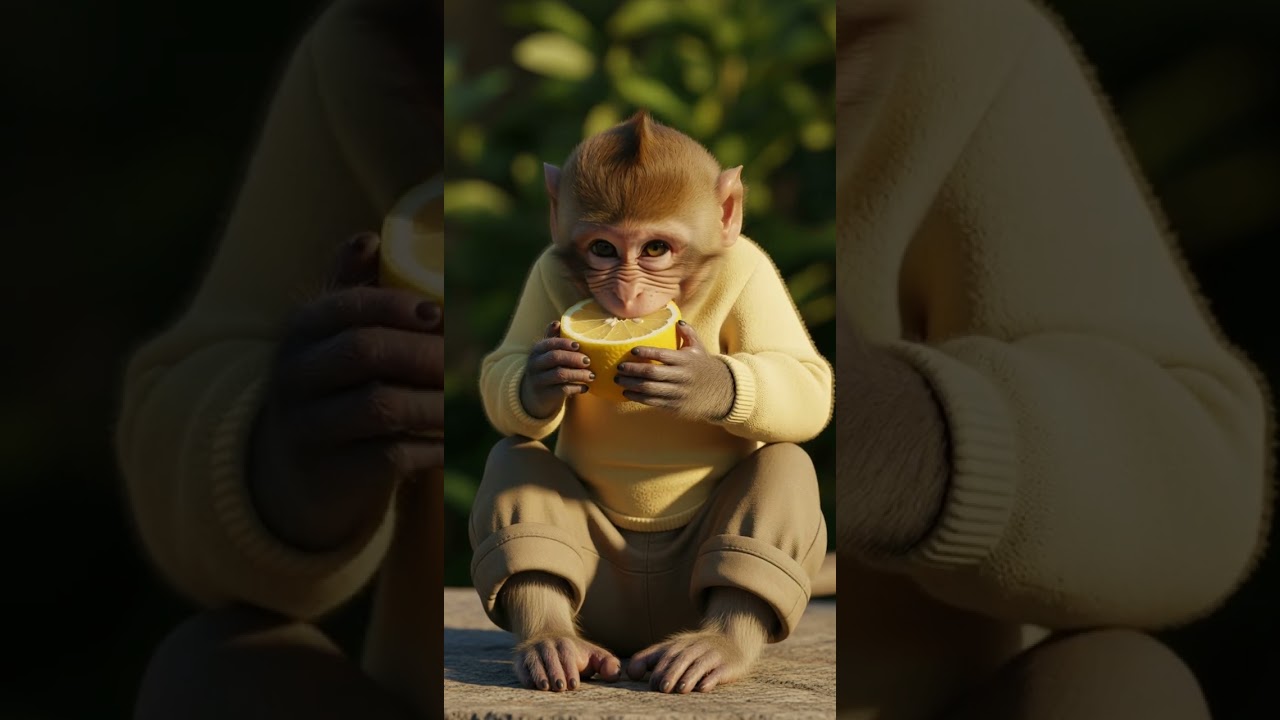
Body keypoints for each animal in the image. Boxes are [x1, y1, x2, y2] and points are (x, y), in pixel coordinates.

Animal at [471, 110, 834, 695]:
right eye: (602, 249)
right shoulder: (546, 270)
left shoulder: (753, 268)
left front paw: (705, 382)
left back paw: (718, 644)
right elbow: (501, 373)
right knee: (513, 456)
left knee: (785, 460)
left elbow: (808, 381)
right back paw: (554, 639)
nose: (625, 296)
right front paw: (542, 375)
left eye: (656, 250)